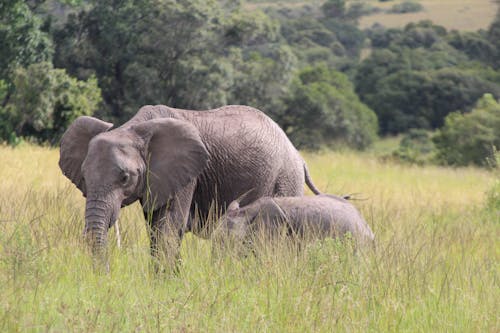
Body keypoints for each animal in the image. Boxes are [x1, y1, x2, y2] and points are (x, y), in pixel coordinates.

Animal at [58, 104, 322, 268]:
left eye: (125, 178)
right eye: (84, 177)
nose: (106, 274)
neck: (133, 129)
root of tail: (299, 156)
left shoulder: (186, 175)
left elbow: (168, 226)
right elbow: (155, 227)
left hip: (285, 179)